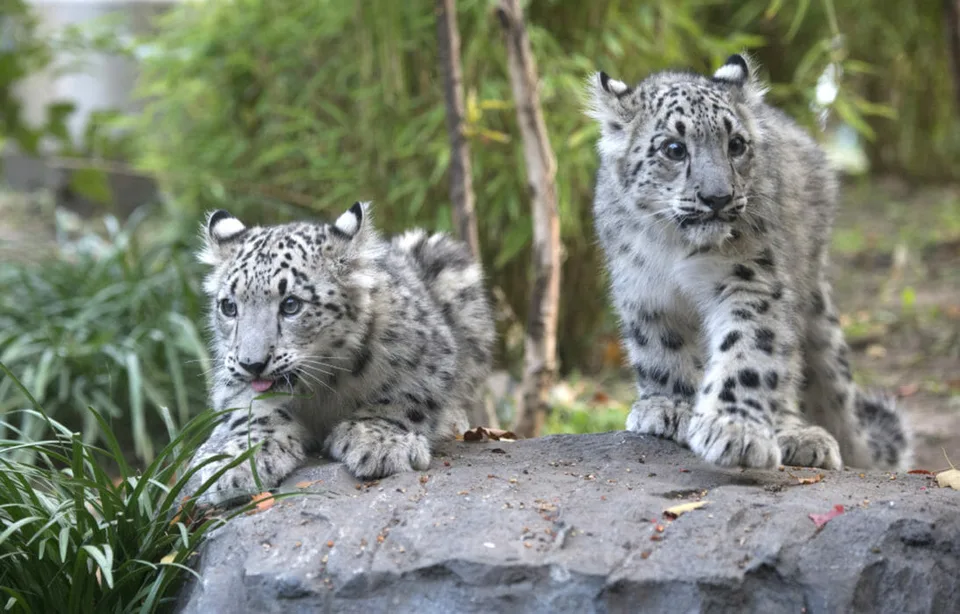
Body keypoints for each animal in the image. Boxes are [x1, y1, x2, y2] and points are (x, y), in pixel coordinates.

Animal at [185, 202, 494, 506]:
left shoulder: (428, 355)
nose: (252, 364)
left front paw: (378, 442)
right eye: (229, 306)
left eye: (291, 304)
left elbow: (404, 397)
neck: (323, 387)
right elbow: (255, 412)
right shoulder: (231, 377)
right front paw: (236, 465)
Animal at [586, 54, 911, 471]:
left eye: (736, 144)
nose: (718, 197)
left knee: (789, 368)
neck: (675, 248)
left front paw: (734, 430)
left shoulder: (749, 279)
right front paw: (671, 406)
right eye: (674, 148)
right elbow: (661, 348)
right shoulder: (644, 289)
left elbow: (746, 353)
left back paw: (798, 435)